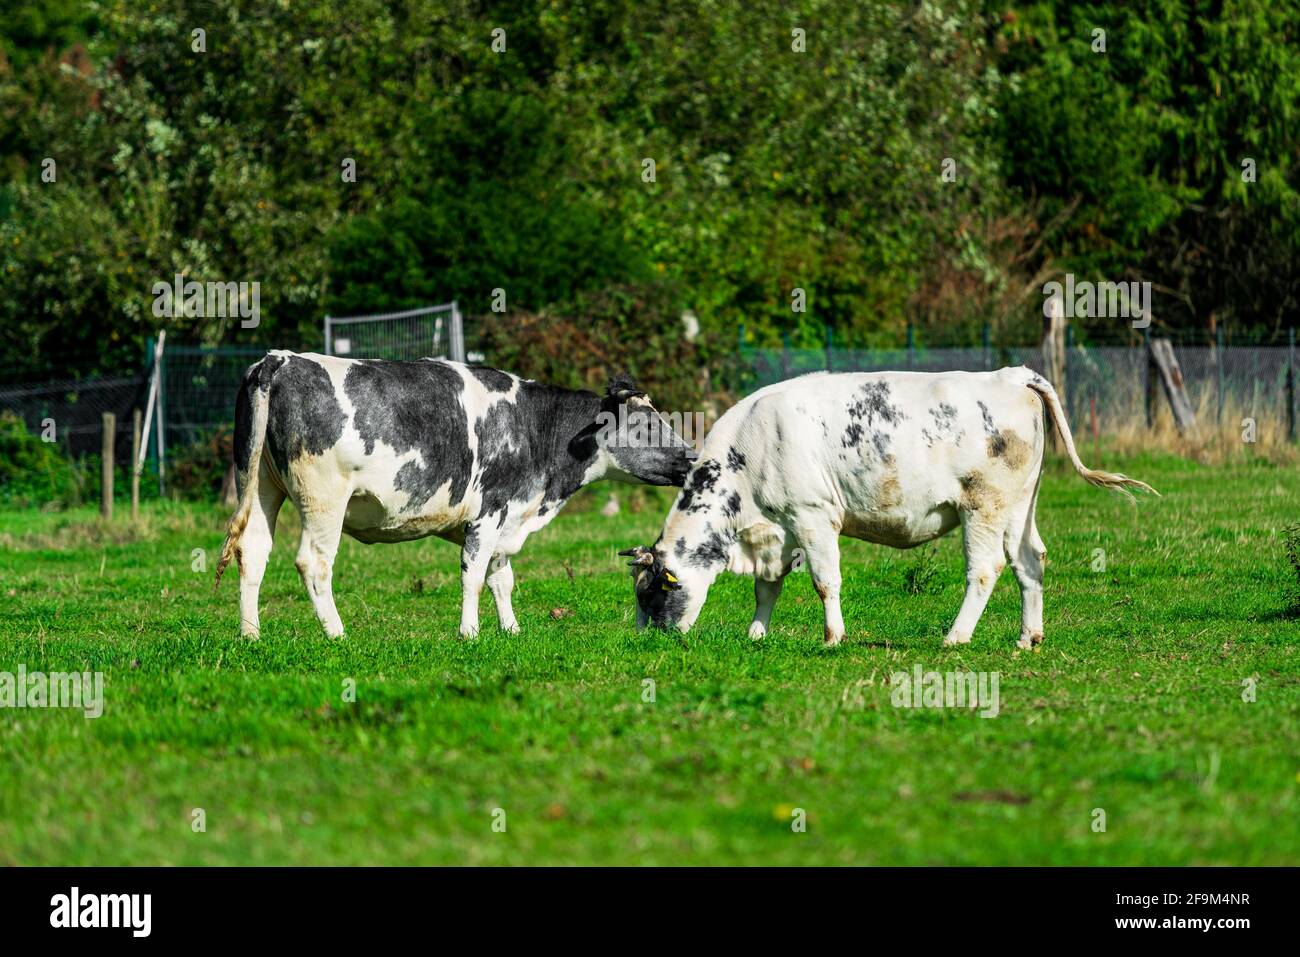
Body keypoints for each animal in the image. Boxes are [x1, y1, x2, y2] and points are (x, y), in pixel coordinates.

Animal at [214, 352, 695, 638]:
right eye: (646, 425)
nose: (691, 457)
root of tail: (278, 360)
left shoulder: (506, 518)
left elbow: (502, 577)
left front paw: (511, 630)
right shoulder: (490, 511)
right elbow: (474, 575)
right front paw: (470, 632)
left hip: (260, 485)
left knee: (252, 551)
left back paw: (250, 633)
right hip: (324, 498)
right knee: (313, 563)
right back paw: (337, 633)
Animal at [619, 367, 1156, 648]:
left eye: (650, 594)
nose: (648, 642)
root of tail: (1012, 375)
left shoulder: (813, 516)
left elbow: (824, 581)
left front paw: (832, 637)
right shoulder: (777, 530)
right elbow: (767, 588)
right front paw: (756, 634)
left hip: (983, 505)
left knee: (986, 570)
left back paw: (956, 636)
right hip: (1020, 506)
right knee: (1031, 561)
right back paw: (1028, 638)